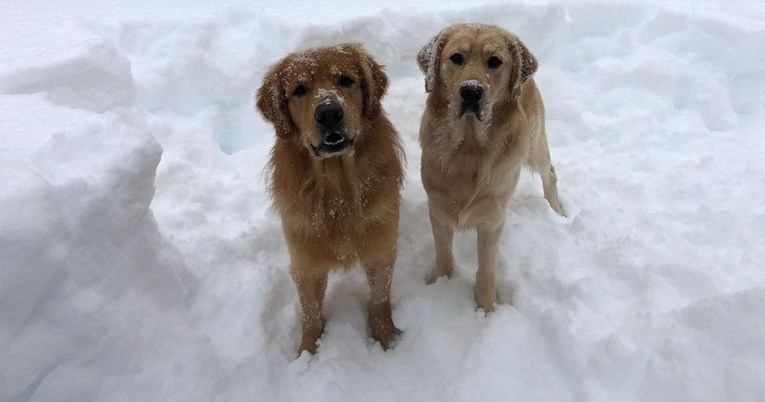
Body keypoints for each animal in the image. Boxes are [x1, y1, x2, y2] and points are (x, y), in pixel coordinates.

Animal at [256, 43, 402, 352]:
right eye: (299, 89)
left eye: (345, 80)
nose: (329, 113)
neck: (338, 191)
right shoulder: (305, 264)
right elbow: (310, 314)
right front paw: (308, 353)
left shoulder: (381, 251)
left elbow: (380, 300)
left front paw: (386, 341)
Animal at [418, 23, 560, 312]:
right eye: (456, 58)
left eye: (494, 61)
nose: (471, 91)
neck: (469, 148)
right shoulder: (438, 210)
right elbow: (443, 255)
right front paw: (442, 285)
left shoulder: (492, 219)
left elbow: (486, 269)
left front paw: (486, 308)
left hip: (534, 147)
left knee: (550, 173)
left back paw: (558, 212)